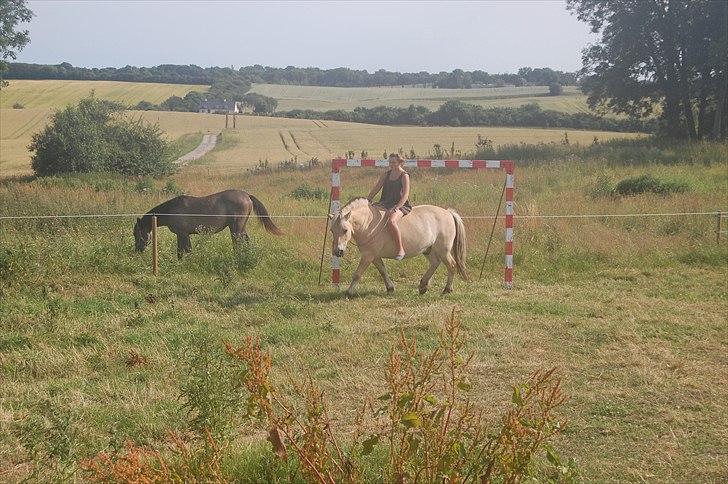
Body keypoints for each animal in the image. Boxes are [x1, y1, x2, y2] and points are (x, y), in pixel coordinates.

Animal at [135, 189, 282, 260]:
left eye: (136, 233)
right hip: (241, 227)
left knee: (238, 243)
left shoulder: (183, 234)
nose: (137, 250)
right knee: (245, 241)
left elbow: (185, 250)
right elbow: (181, 251)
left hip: (236, 228)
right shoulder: (181, 235)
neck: (171, 210)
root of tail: (246, 195)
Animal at [328, 199, 470, 296]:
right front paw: (390, 288)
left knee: (451, 265)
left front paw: (348, 292)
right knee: (435, 263)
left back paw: (447, 289)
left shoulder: (368, 256)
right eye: (332, 231)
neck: (367, 223)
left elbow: (357, 274)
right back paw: (423, 286)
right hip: (429, 250)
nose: (338, 251)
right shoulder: (375, 256)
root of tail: (448, 213)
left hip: (443, 250)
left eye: (345, 230)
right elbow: (383, 271)